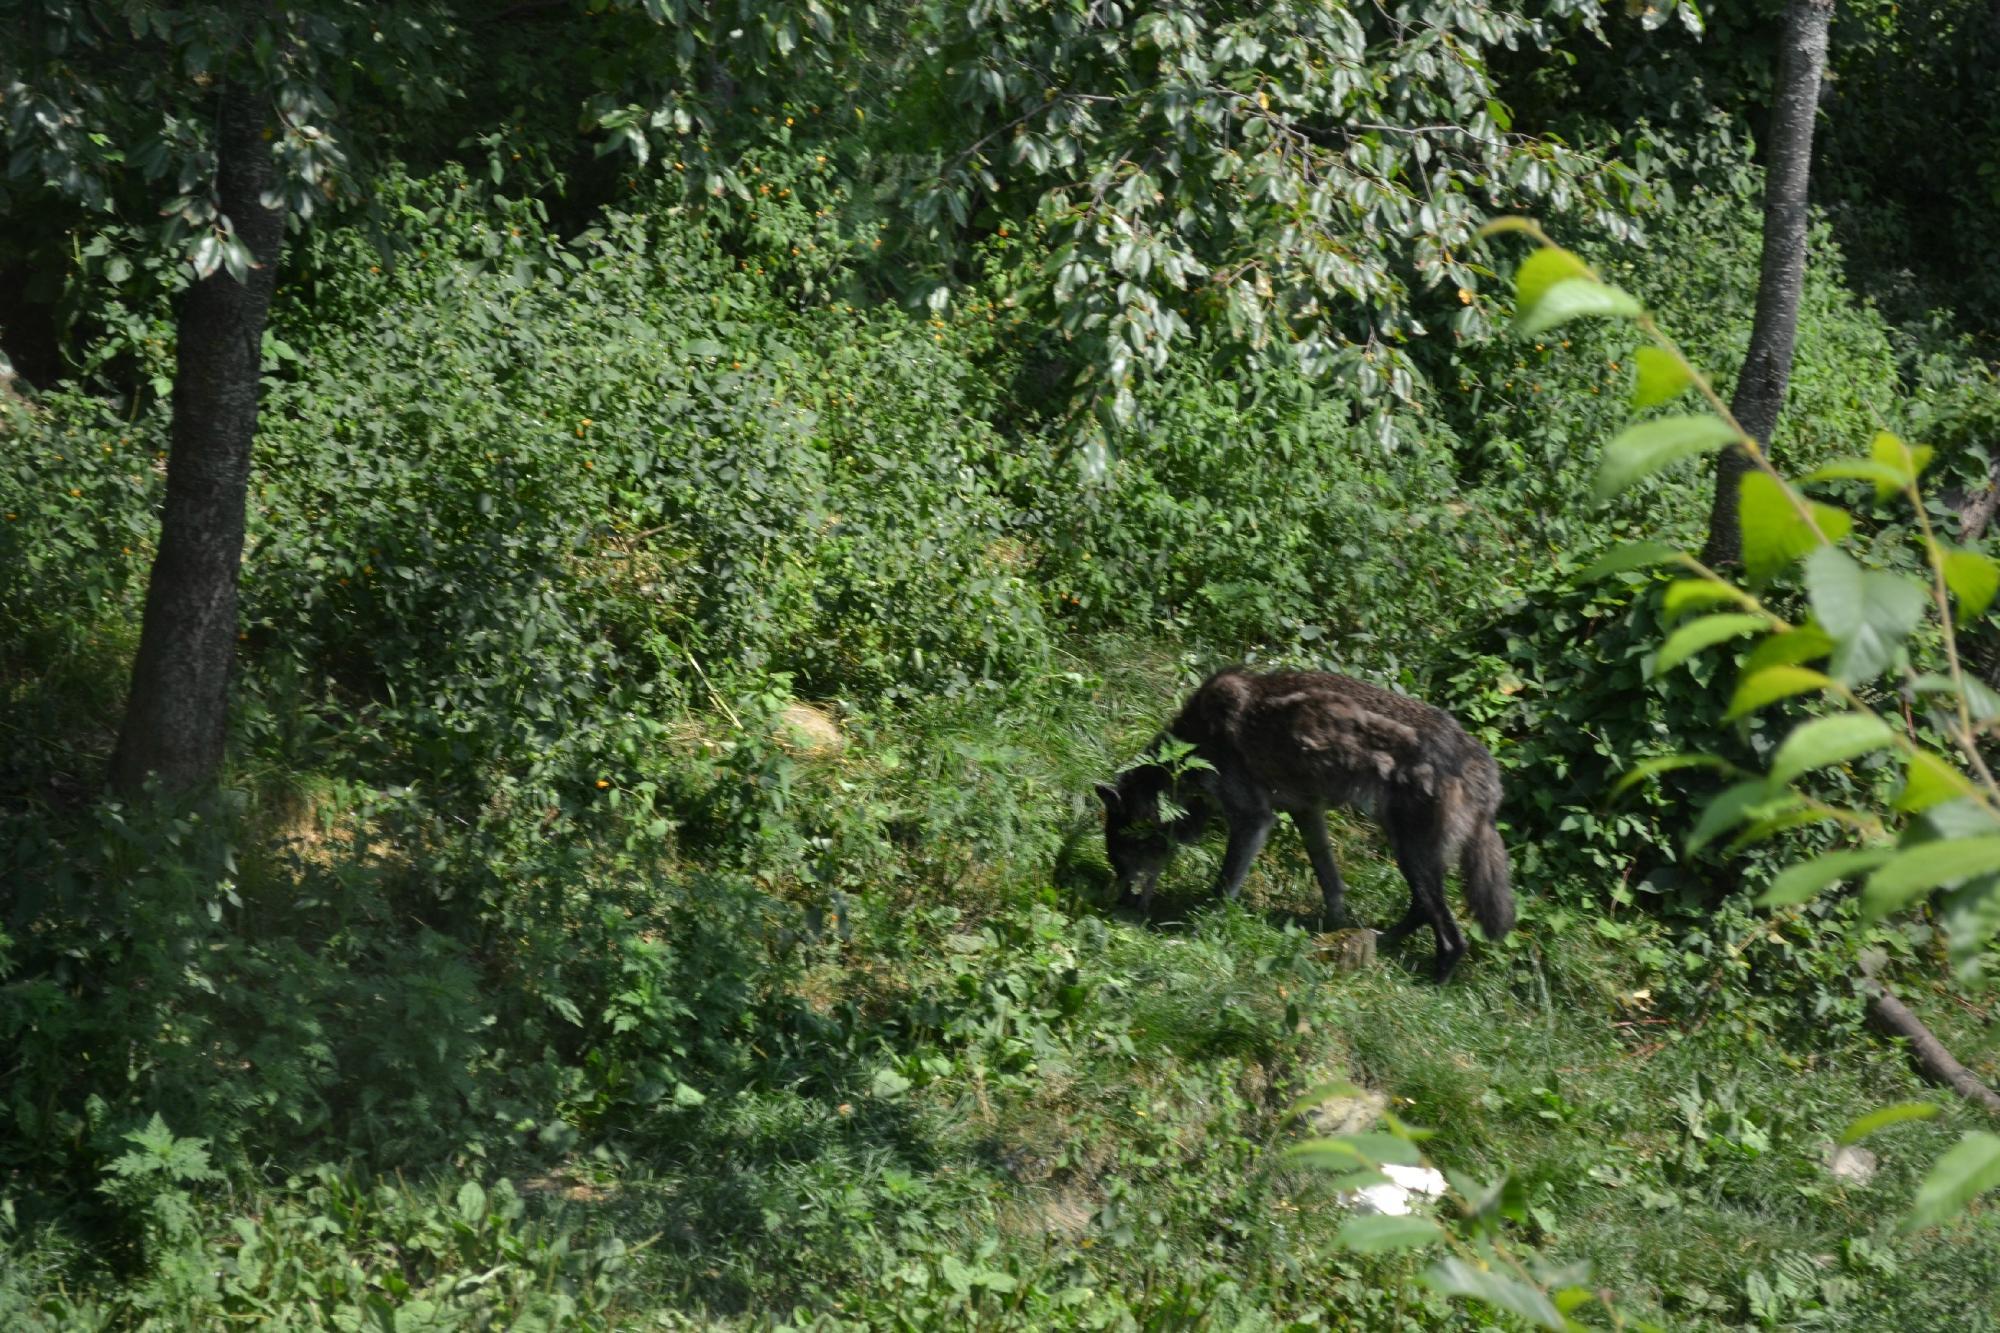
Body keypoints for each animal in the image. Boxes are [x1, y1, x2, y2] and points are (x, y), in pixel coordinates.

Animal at [1096, 664, 1512, 976]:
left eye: (1124, 854)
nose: (1121, 904)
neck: (1195, 744)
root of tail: (1485, 770)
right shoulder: (1306, 812)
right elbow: (1331, 882)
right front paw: (1336, 927)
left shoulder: (1253, 819)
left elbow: (1224, 885)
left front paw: (1200, 926)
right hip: (1407, 851)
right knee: (1422, 909)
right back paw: (1380, 940)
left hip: (1410, 853)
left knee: (1451, 937)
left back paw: (1433, 983)